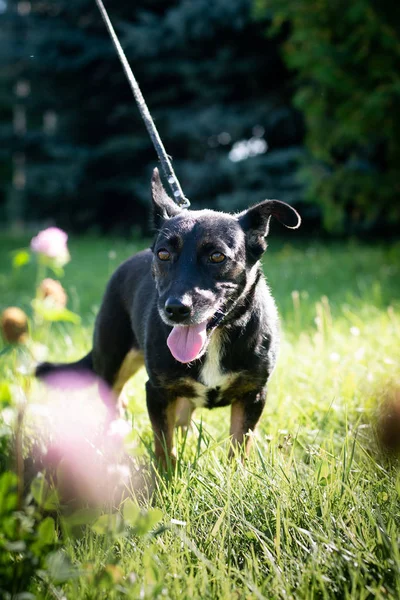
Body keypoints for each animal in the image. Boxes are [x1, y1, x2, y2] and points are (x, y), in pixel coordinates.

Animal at [37, 169, 300, 464]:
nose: (175, 308)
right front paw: (165, 474)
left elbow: (238, 447)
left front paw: (237, 472)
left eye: (217, 256)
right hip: (113, 361)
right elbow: (165, 445)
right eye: (163, 254)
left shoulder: (253, 394)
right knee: (114, 399)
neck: (215, 340)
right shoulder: (158, 391)